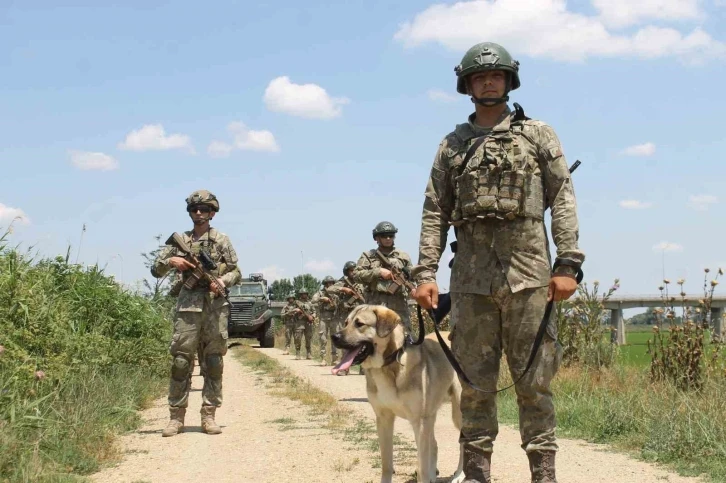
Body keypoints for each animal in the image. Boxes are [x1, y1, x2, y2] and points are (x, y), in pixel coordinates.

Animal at [332, 306, 464, 483]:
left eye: (359, 324)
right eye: (346, 322)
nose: (334, 336)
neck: (389, 364)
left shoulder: (419, 421)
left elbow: (422, 467)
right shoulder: (384, 419)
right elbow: (386, 464)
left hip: (458, 414)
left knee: (463, 444)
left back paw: (459, 474)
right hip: (431, 415)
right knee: (434, 445)